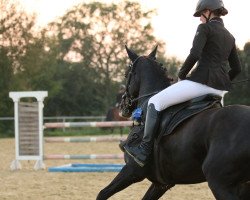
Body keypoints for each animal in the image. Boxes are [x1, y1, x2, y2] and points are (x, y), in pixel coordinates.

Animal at [96, 46, 250, 199]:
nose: (123, 106)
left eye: (125, 74)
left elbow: (102, 193)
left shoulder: (133, 170)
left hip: (218, 182)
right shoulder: (161, 183)